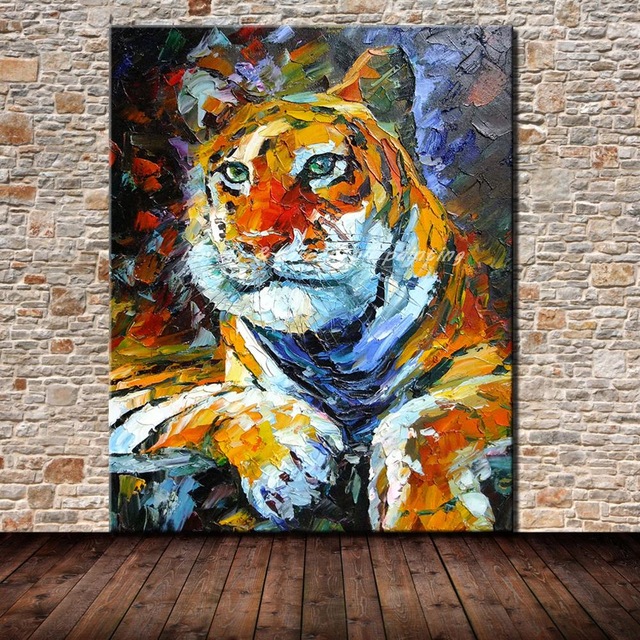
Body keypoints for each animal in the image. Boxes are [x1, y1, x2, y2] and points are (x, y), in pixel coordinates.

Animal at [110, 44, 512, 532]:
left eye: (322, 165)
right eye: (236, 173)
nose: (259, 242)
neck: (333, 348)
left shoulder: (491, 364)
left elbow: (434, 414)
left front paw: (425, 517)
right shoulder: (148, 397)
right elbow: (207, 402)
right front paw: (288, 462)